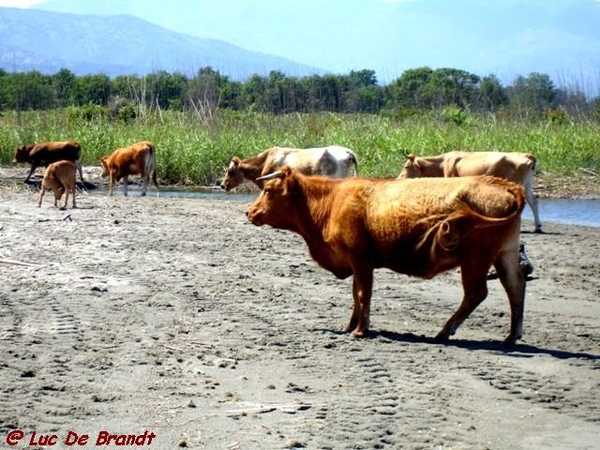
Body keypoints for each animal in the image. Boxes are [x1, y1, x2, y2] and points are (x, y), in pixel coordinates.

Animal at [246, 167, 528, 342]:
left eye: (268, 190)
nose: (249, 212)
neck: (332, 201)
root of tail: (505, 185)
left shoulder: (360, 258)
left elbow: (363, 293)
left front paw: (361, 330)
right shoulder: (355, 262)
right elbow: (355, 294)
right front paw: (351, 325)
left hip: (476, 259)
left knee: (476, 294)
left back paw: (445, 331)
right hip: (505, 254)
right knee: (515, 286)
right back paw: (511, 336)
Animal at [398, 153, 544, 234]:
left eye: (406, 166)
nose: (399, 179)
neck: (442, 163)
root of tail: (527, 155)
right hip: (527, 185)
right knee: (534, 201)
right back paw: (537, 227)